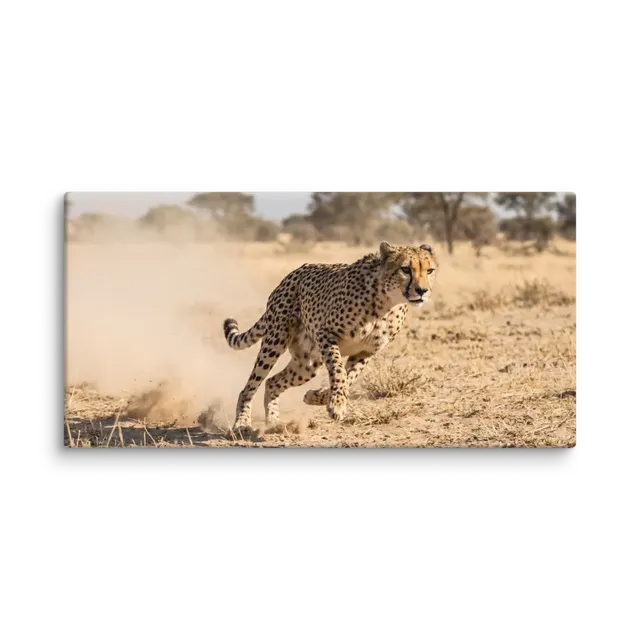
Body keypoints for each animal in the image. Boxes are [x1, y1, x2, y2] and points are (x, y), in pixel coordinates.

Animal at [222, 241, 437, 439]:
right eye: (405, 269)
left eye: (429, 271)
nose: (422, 291)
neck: (387, 302)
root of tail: (291, 274)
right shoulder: (326, 334)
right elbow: (338, 371)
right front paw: (336, 404)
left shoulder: (366, 351)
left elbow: (350, 378)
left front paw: (317, 397)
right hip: (276, 340)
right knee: (250, 386)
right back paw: (242, 424)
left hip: (307, 364)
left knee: (273, 382)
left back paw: (274, 422)